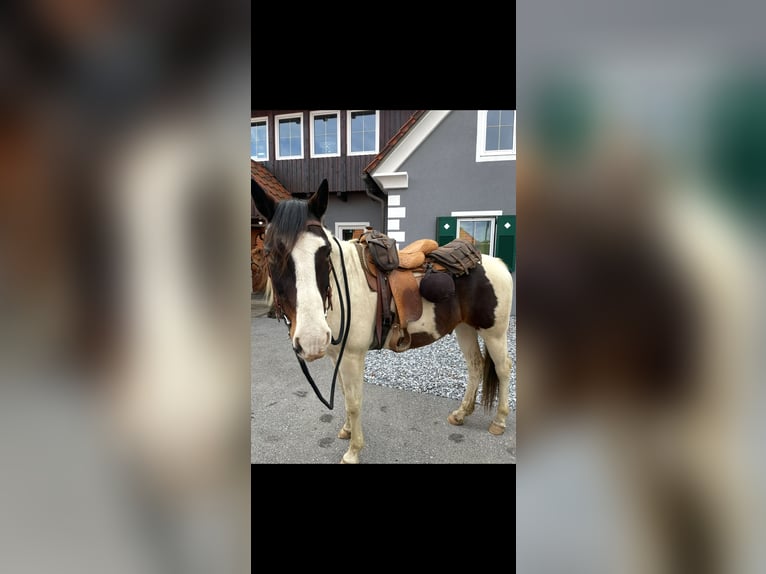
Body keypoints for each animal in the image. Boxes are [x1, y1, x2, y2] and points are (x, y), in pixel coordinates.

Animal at [254, 178, 516, 466]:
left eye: (324, 253)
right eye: (270, 253)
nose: (312, 339)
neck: (345, 284)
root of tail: (496, 262)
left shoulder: (353, 356)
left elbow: (354, 402)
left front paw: (353, 451)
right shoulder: (336, 355)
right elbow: (344, 394)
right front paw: (346, 431)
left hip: (494, 332)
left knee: (503, 368)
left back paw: (499, 421)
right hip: (465, 329)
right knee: (475, 366)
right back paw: (461, 413)